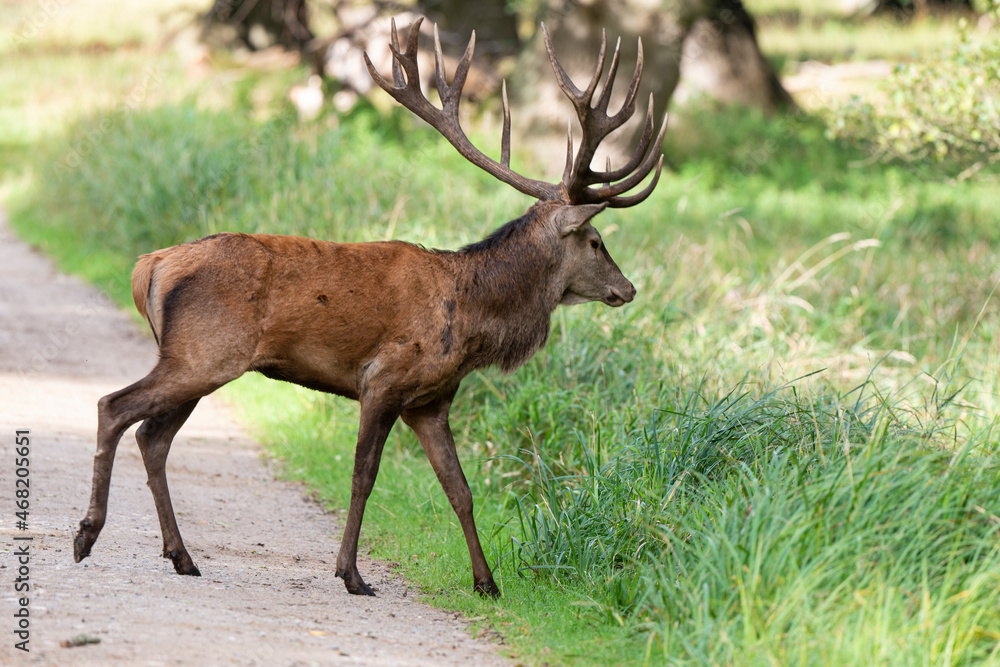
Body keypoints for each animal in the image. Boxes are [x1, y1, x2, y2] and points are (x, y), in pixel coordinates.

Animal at [73, 17, 667, 598]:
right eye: (596, 241)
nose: (628, 288)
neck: (471, 318)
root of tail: (150, 264)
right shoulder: (383, 379)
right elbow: (364, 475)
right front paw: (351, 574)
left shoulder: (431, 401)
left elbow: (460, 488)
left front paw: (487, 582)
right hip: (204, 353)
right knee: (114, 407)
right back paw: (87, 535)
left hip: (201, 360)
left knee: (153, 437)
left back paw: (182, 556)